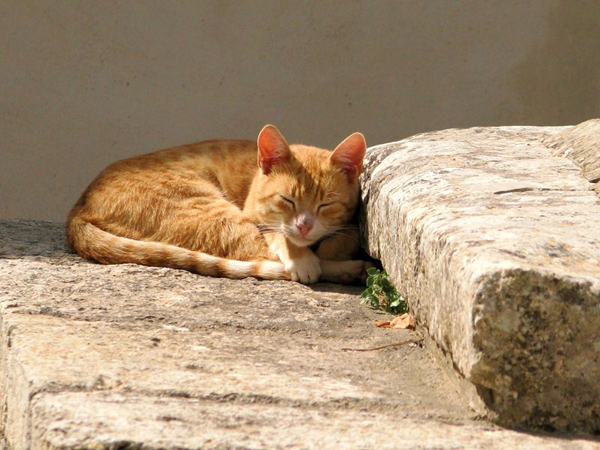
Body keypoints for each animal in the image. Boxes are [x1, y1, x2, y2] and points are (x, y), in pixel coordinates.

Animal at [69, 125, 370, 284]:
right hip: (214, 212)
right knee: (259, 256)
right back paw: (348, 268)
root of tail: (79, 208)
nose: (305, 226)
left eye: (326, 205)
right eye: (287, 200)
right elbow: (280, 238)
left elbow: (346, 234)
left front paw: (332, 245)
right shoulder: (256, 217)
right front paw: (304, 257)